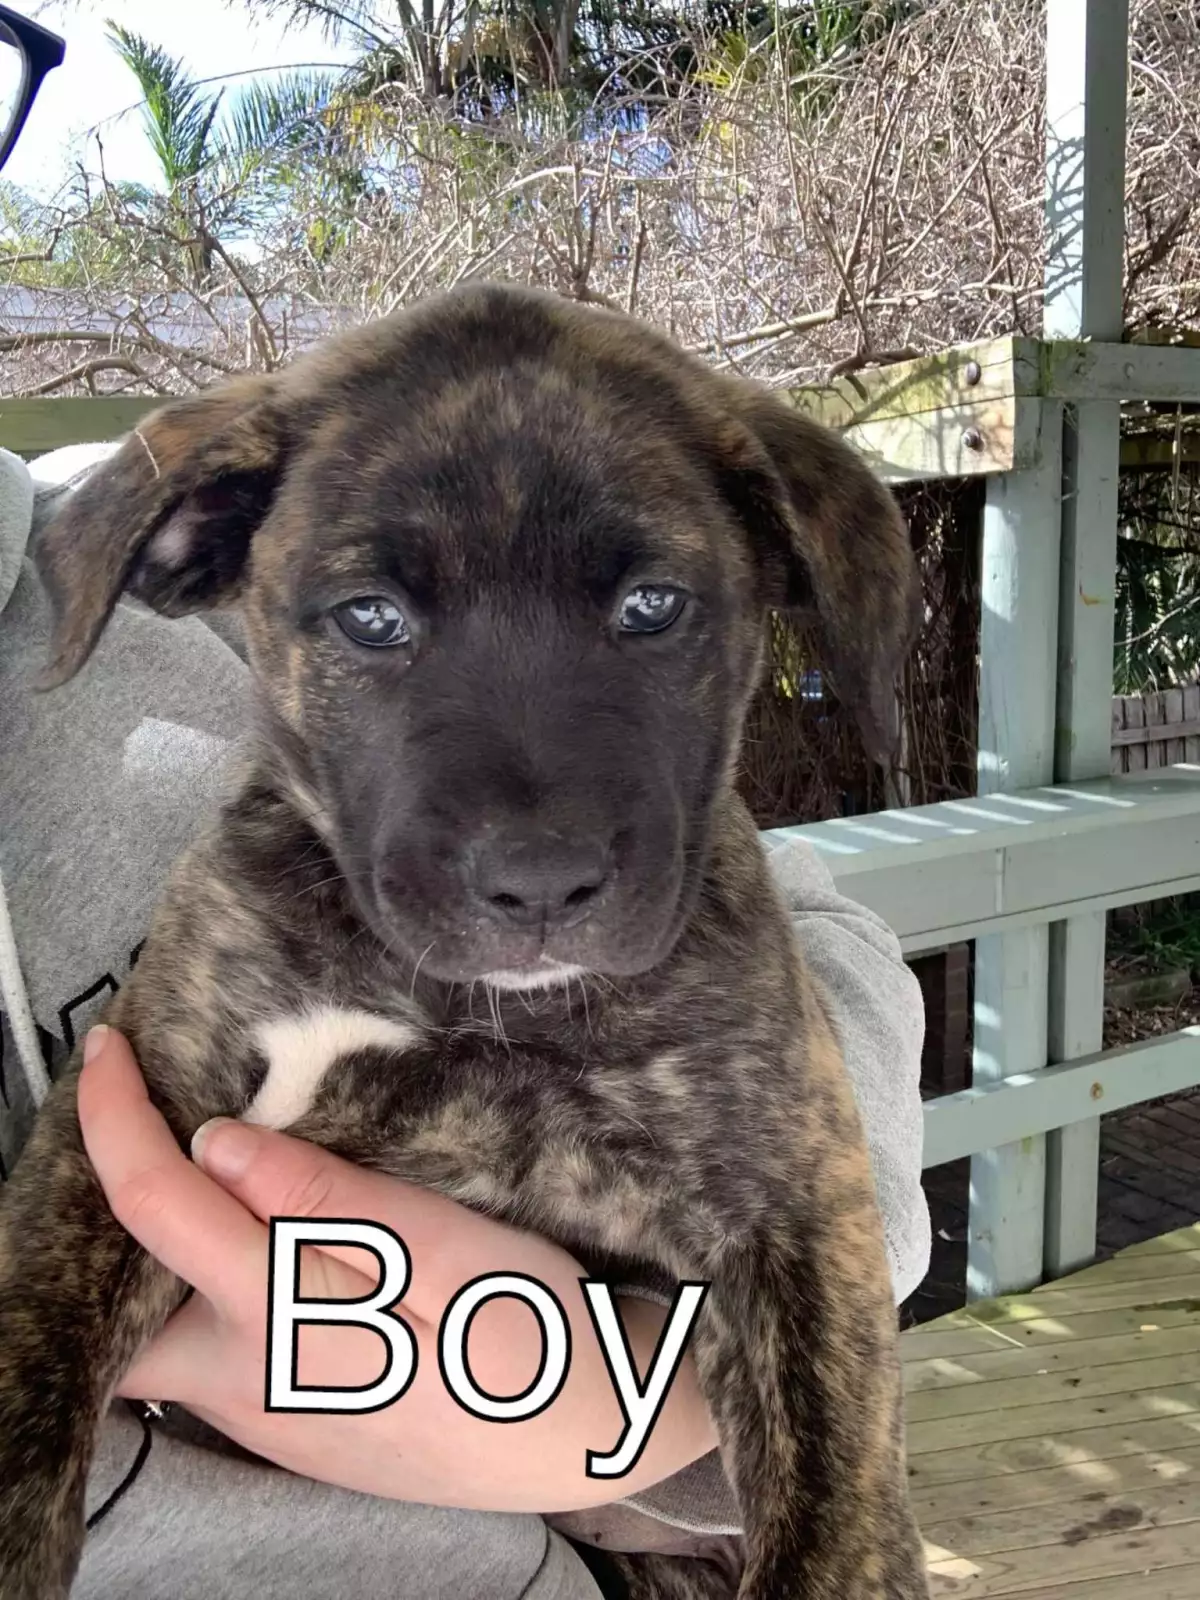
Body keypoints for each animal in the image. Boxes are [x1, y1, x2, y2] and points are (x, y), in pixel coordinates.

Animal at [0, 282, 929, 1600]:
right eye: (371, 618)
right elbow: (30, 1368)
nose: (539, 885)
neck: (465, 1008)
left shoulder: (788, 1208)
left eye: (653, 606)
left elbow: (835, 1503)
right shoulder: (131, 1105)